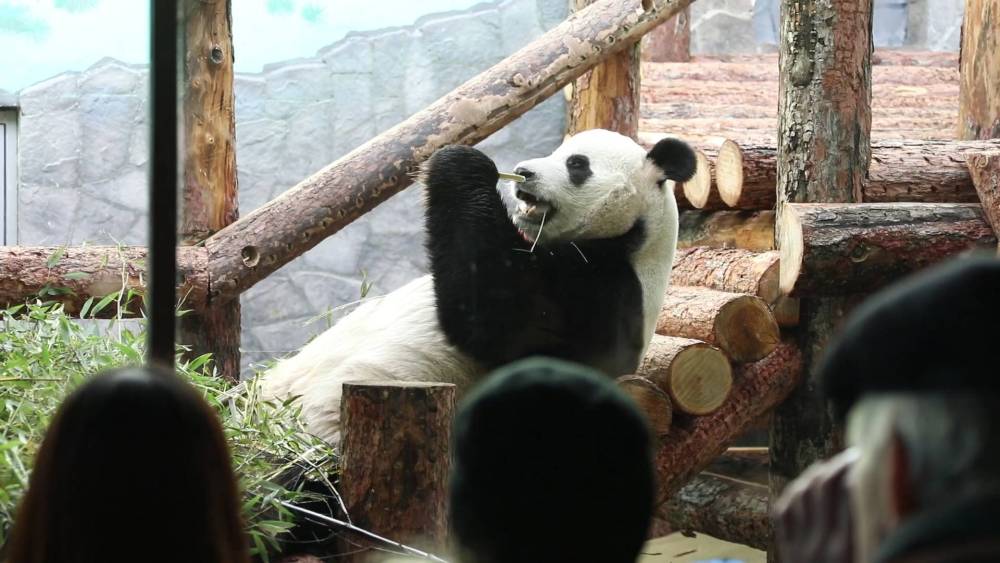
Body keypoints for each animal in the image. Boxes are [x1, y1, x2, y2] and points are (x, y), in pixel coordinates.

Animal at [261, 129, 697, 443]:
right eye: (558, 150)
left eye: (576, 164)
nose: (523, 171)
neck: (635, 238)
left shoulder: (604, 291)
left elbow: (497, 318)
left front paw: (461, 162)